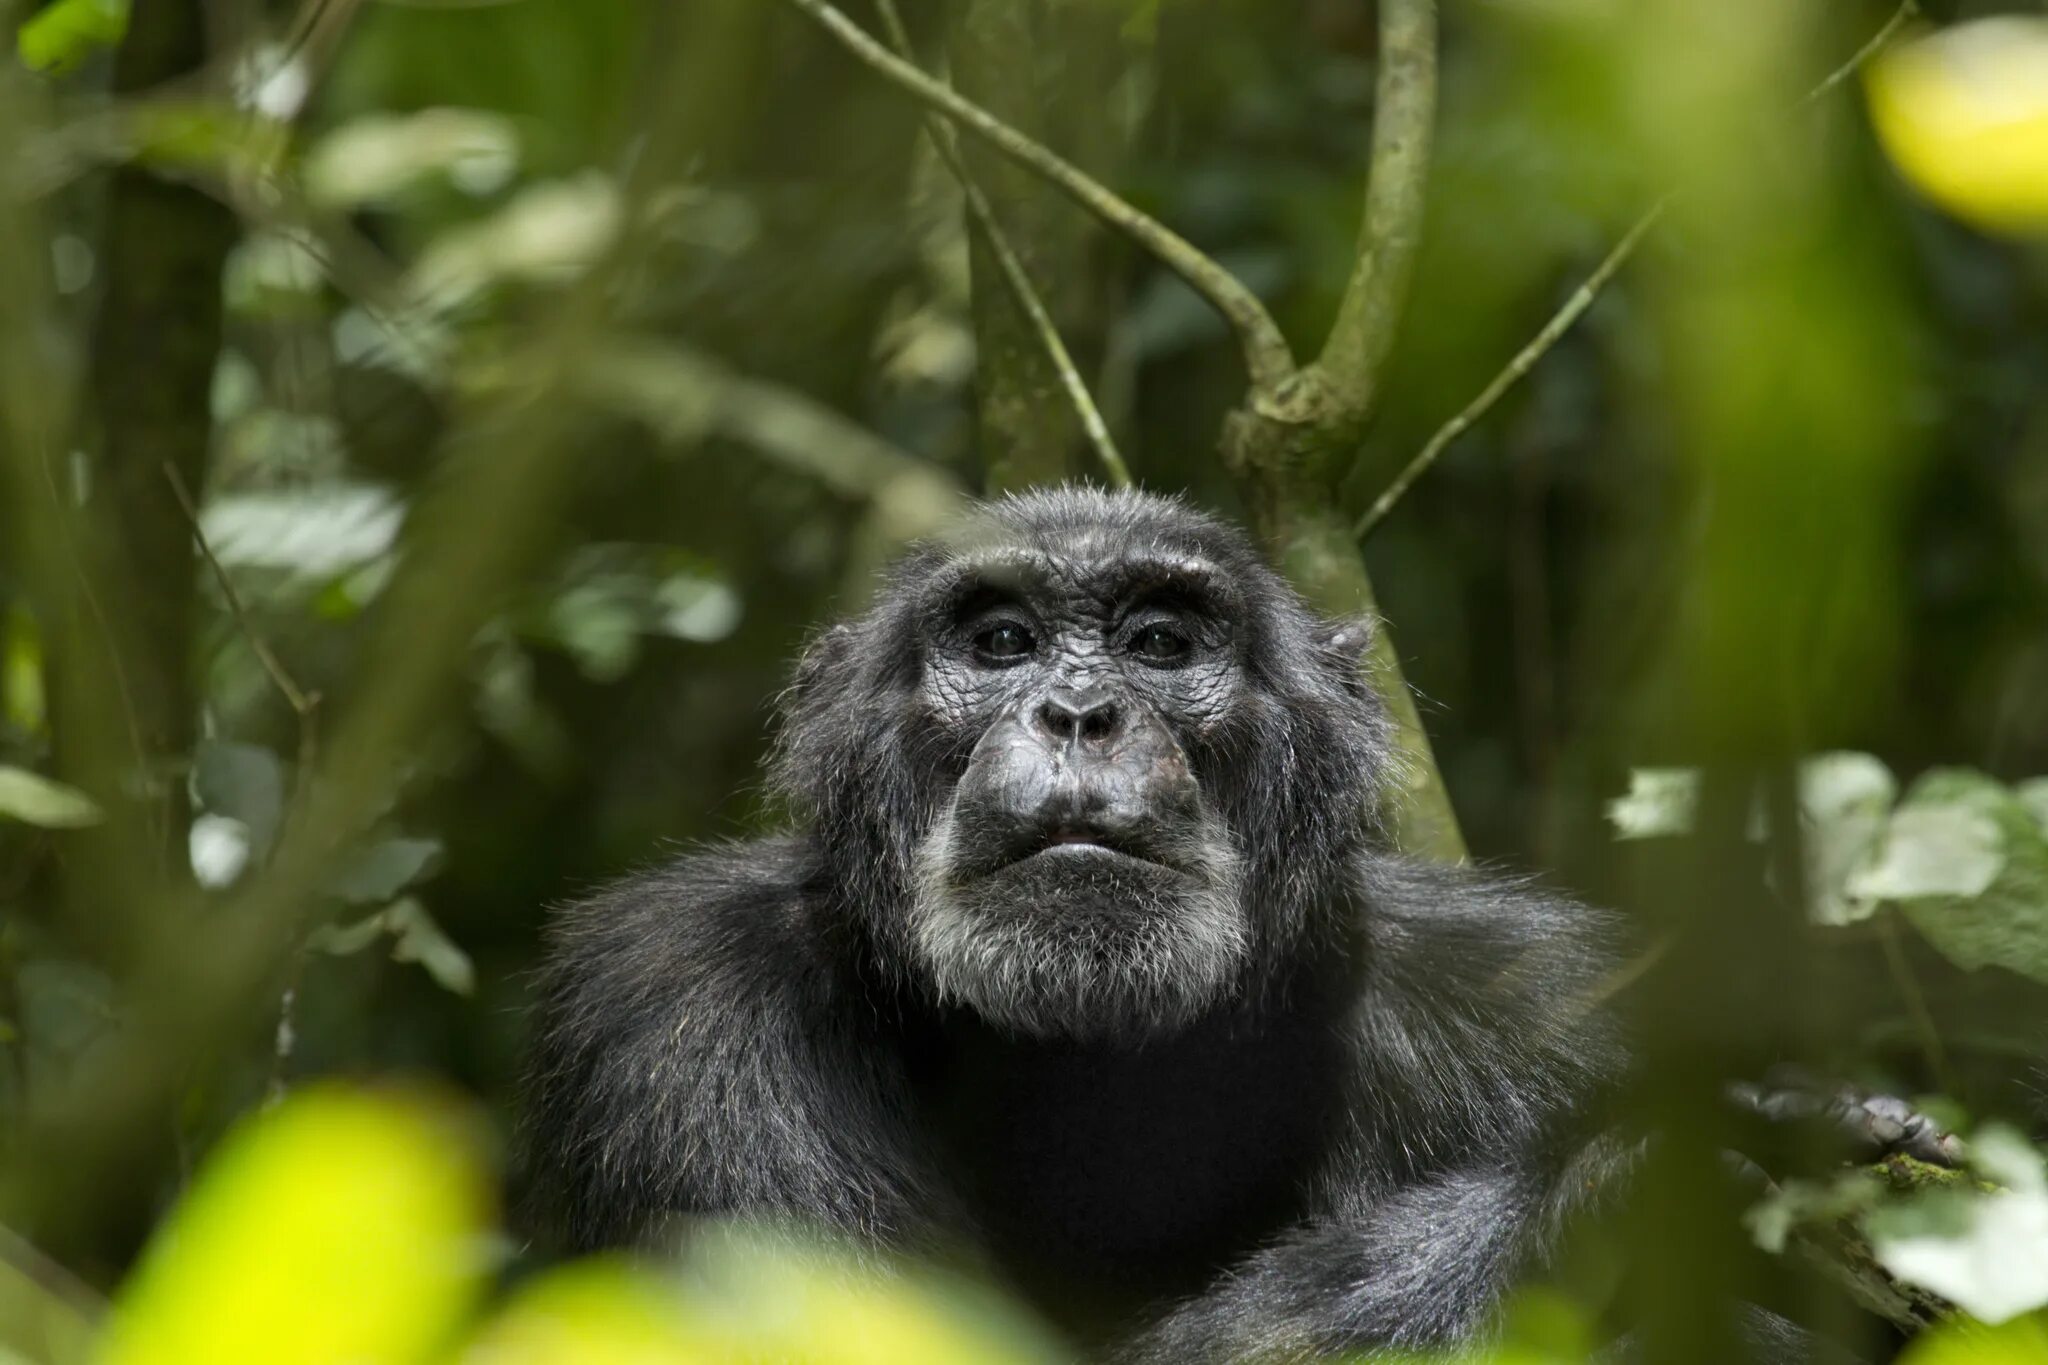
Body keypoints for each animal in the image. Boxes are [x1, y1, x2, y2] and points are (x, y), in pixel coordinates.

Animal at [524, 485, 1916, 1358]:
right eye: (1000, 640)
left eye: (1157, 641)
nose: (1078, 710)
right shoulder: (684, 1005)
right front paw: (1635, 1189)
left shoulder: (1546, 999)